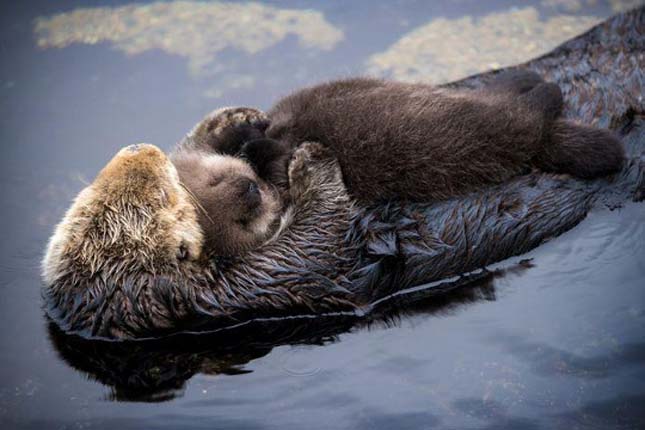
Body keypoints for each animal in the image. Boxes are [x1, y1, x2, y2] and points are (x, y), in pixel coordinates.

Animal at [172, 72, 624, 255]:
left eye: (218, 178)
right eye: (242, 219)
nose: (248, 188)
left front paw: (246, 129)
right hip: (480, 132)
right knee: (524, 115)